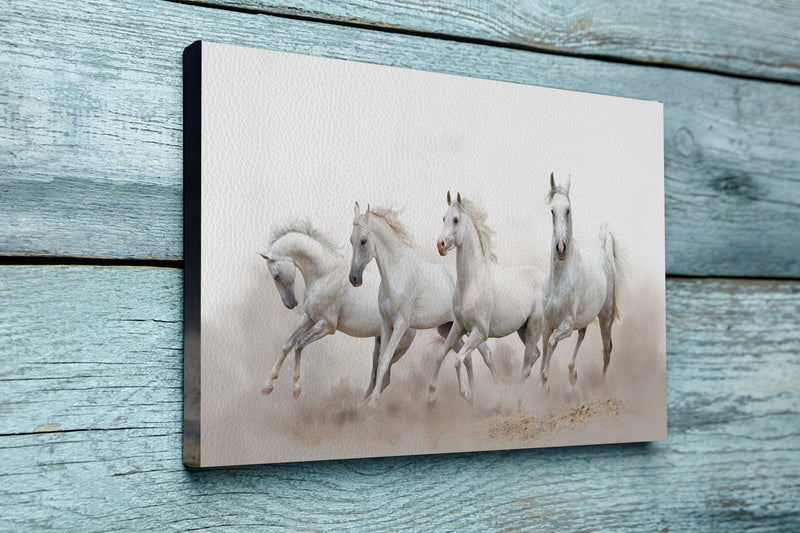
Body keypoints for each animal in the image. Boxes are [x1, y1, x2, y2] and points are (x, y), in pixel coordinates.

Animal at [260, 220, 416, 400]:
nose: (291, 304)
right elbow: (288, 344)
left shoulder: (327, 326)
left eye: (276, 276)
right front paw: (267, 386)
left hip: (396, 347)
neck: (325, 275)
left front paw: (296, 389)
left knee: (384, 377)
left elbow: (299, 344)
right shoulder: (309, 319)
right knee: (376, 377)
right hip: (380, 342)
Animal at [350, 202, 494, 406]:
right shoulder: (386, 325)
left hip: (469, 328)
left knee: (486, 355)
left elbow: (384, 361)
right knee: (466, 358)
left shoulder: (401, 326)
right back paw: (470, 396)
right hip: (448, 328)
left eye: (363, 241)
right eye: (351, 241)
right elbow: (380, 363)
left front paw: (372, 404)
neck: (396, 274)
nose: (354, 278)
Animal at [432, 192, 544, 404]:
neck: (472, 283)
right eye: (443, 218)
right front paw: (431, 396)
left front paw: (467, 395)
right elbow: (441, 354)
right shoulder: (459, 326)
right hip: (523, 330)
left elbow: (458, 359)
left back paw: (517, 400)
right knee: (535, 354)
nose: (440, 245)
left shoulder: (480, 332)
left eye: (456, 219)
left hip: (534, 327)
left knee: (526, 366)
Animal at [540, 172, 620, 384]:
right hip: (586, 317)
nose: (560, 248)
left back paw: (602, 383)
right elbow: (543, 352)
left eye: (568, 210)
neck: (558, 281)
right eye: (552, 211)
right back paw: (572, 373)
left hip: (605, 317)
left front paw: (546, 381)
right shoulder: (547, 324)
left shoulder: (566, 325)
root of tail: (602, 251)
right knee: (583, 334)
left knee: (607, 349)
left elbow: (551, 345)